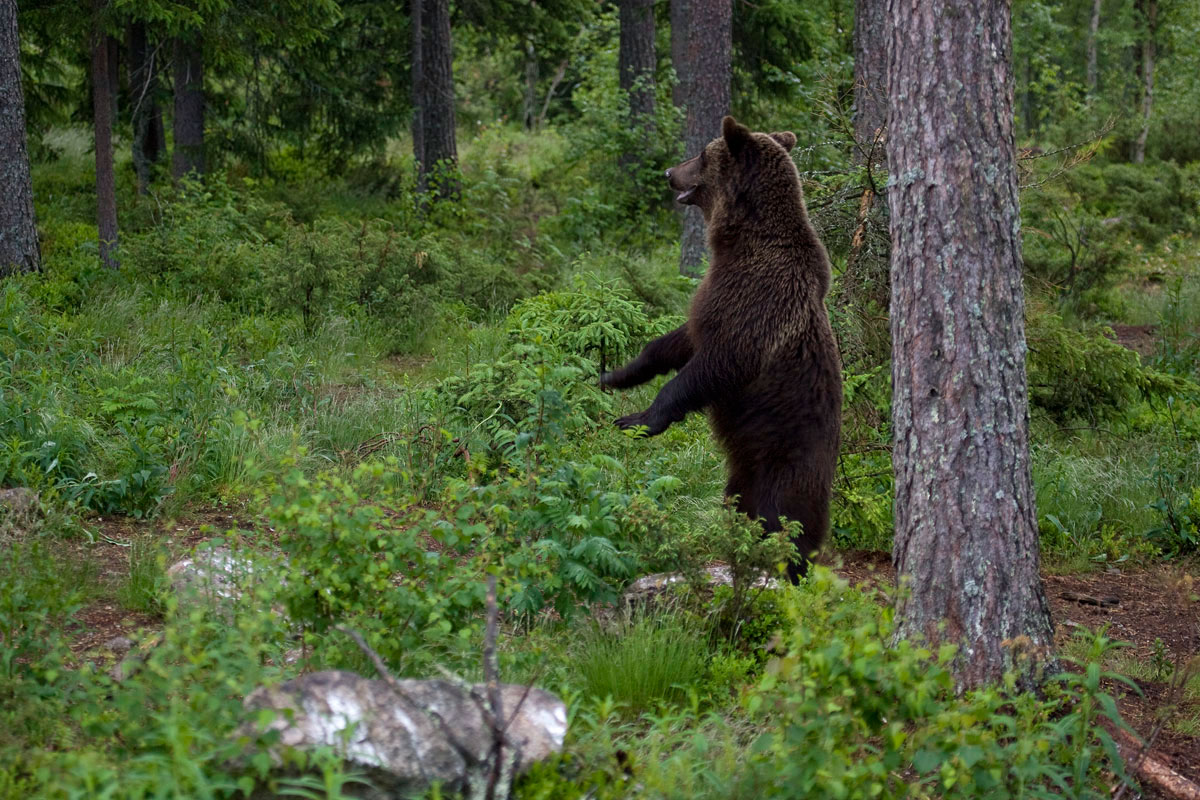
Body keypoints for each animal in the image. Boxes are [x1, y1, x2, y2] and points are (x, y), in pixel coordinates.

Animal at [600, 115, 844, 578]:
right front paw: (616, 374)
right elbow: (677, 340)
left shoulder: (758, 305)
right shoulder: (713, 299)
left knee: (783, 521)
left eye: (701, 154)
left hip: (784, 461)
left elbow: (715, 365)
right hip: (743, 470)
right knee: (739, 502)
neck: (739, 239)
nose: (668, 171)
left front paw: (639, 419)